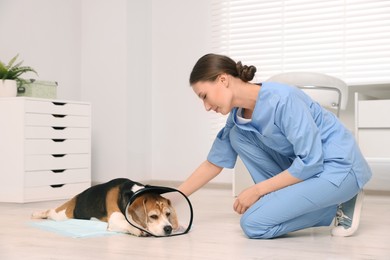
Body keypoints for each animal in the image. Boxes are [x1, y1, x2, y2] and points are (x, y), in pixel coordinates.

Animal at [32, 178, 178, 237]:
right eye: (153, 216)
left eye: (168, 214)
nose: (168, 229)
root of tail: (77, 196)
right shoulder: (115, 220)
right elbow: (127, 223)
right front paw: (138, 229)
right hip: (63, 214)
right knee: (50, 211)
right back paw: (37, 214)